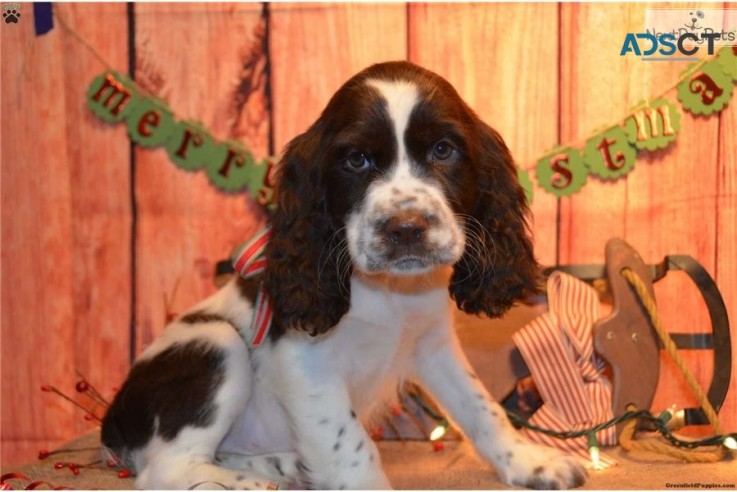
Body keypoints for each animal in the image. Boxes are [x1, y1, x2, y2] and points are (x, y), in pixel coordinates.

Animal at [102, 60, 588, 488]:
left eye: (443, 150)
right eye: (356, 160)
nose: (406, 228)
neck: (390, 290)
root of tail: (111, 423)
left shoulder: (433, 342)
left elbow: (481, 405)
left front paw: (531, 462)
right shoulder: (306, 361)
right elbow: (351, 447)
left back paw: (282, 465)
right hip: (216, 343)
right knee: (165, 470)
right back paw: (250, 483)